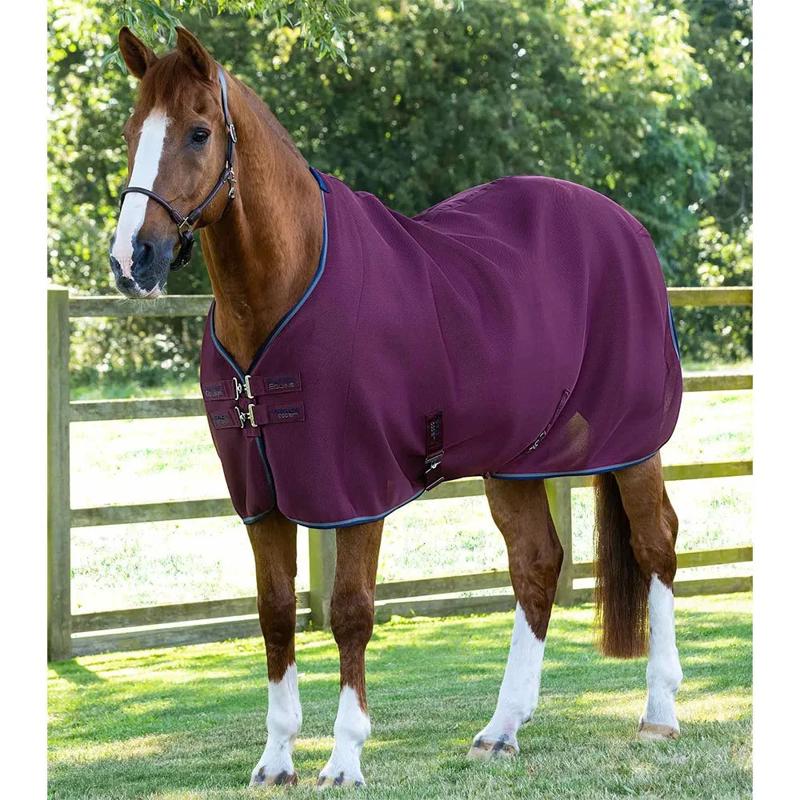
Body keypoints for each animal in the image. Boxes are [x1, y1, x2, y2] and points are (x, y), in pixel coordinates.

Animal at [109, 27, 684, 788]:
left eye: (199, 132)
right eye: (130, 132)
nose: (131, 260)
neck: (284, 288)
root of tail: (624, 224)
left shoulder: (355, 488)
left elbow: (350, 612)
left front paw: (345, 759)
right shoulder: (262, 496)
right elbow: (275, 613)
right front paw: (276, 761)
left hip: (634, 444)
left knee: (655, 547)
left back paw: (660, 714)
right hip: (516, 463)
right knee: (537, 566)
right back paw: (502, 730)